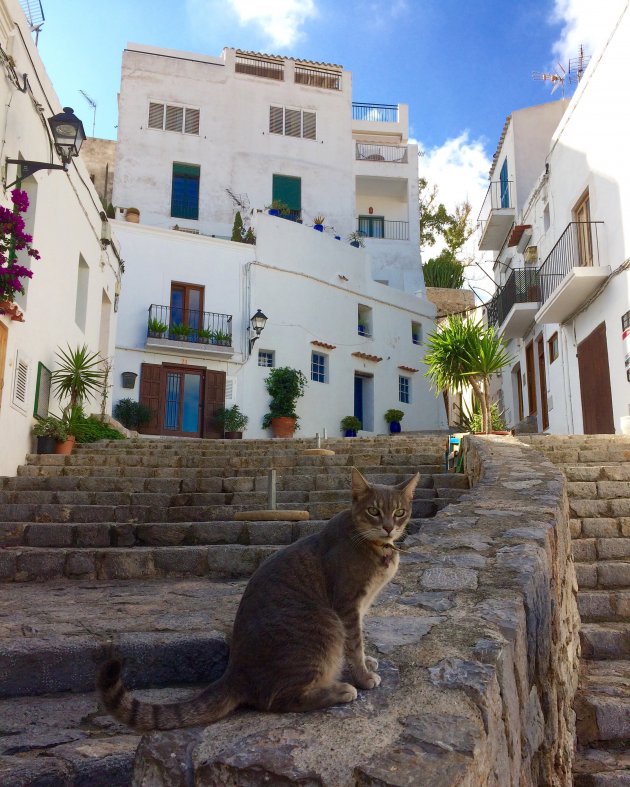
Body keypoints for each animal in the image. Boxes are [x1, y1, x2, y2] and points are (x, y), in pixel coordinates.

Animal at [97, 468, 420, 732]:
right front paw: (363, 677)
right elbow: (354, 643)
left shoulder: (360, 607)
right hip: (324, 626)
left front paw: (367, 661)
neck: (375, 546)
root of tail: (234, 673)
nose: (388, 527)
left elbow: (359, 642)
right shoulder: (348, 605)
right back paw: (340, 690)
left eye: (399, 512)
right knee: (278, 699)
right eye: (374, 511)